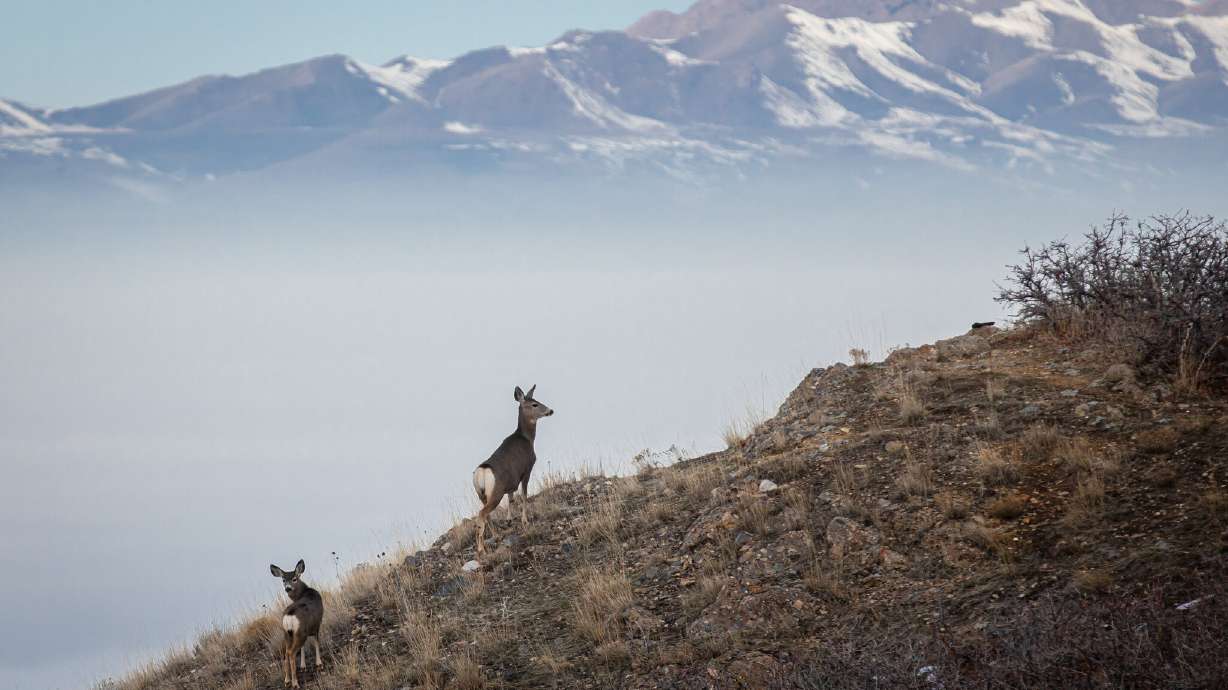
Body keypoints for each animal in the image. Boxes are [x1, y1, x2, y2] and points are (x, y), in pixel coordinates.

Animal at [270, 559, 323, 688]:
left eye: (294, 578)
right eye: (283, 580)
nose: (288, 588)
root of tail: (289, 616)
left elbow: (304, 648)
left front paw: (303, 666)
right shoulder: (317, 624)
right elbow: (316, 642)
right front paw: (319, 664)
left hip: (287, 633)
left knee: (286, 653)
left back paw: (287, 680)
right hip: (300, 633)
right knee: (291, 653)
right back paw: (295, 683)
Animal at [471, 384, 554, 557]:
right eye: (535, 404)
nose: (551, 410)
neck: (527, 438)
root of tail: (482, 472)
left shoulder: (511, 482)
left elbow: (511, 499)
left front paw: (509, 520)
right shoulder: (527, 469)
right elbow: (524, 496)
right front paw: (525, 520)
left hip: (481, 494)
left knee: (486, 514)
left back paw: (495, 536)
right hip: (496, 492)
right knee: (482, 515)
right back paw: (481, 549)